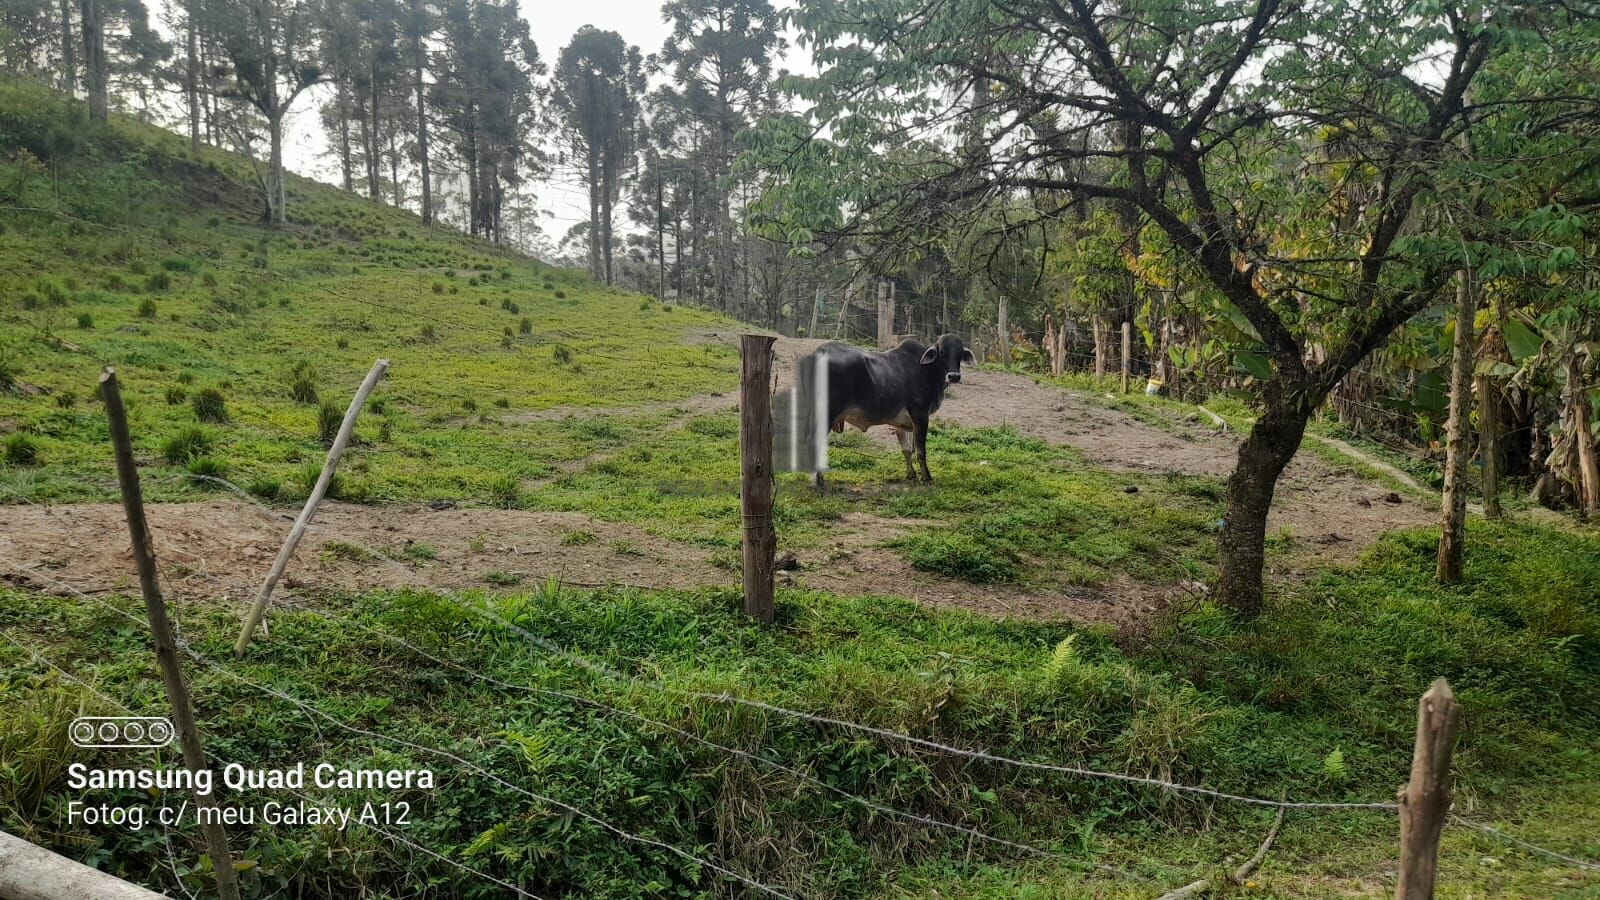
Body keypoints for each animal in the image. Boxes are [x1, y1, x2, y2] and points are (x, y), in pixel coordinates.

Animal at [800, 331, 972, 483]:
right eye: (942, 352)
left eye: (960, 353)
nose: (954, 376)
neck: (927, 369)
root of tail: (819, 352)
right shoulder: (921, 415)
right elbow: (921, 451)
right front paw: (926, 477)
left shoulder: (902, 422)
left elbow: (907, 449)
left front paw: (911, 475)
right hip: (827, 412)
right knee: (814, 440)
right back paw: (818, 481)